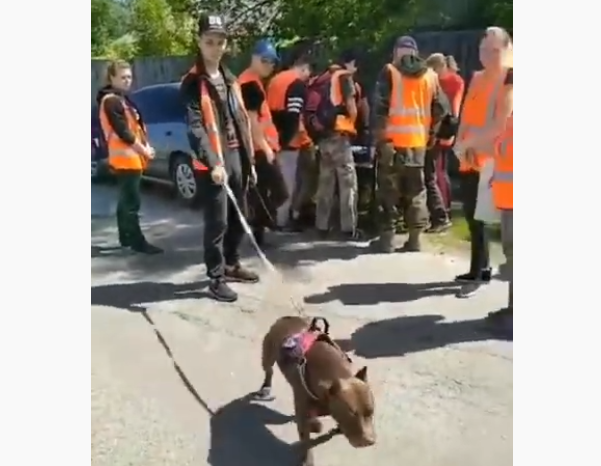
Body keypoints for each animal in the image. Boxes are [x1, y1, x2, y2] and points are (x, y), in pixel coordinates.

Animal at [253, 314, 376, 464]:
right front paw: (308, 458)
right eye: (351, 413)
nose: (369, 441)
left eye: (371, 411)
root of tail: (286, 318)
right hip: (268, 353)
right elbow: (306, 439)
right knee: (268, 370)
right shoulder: (303, 411)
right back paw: (266, 387)